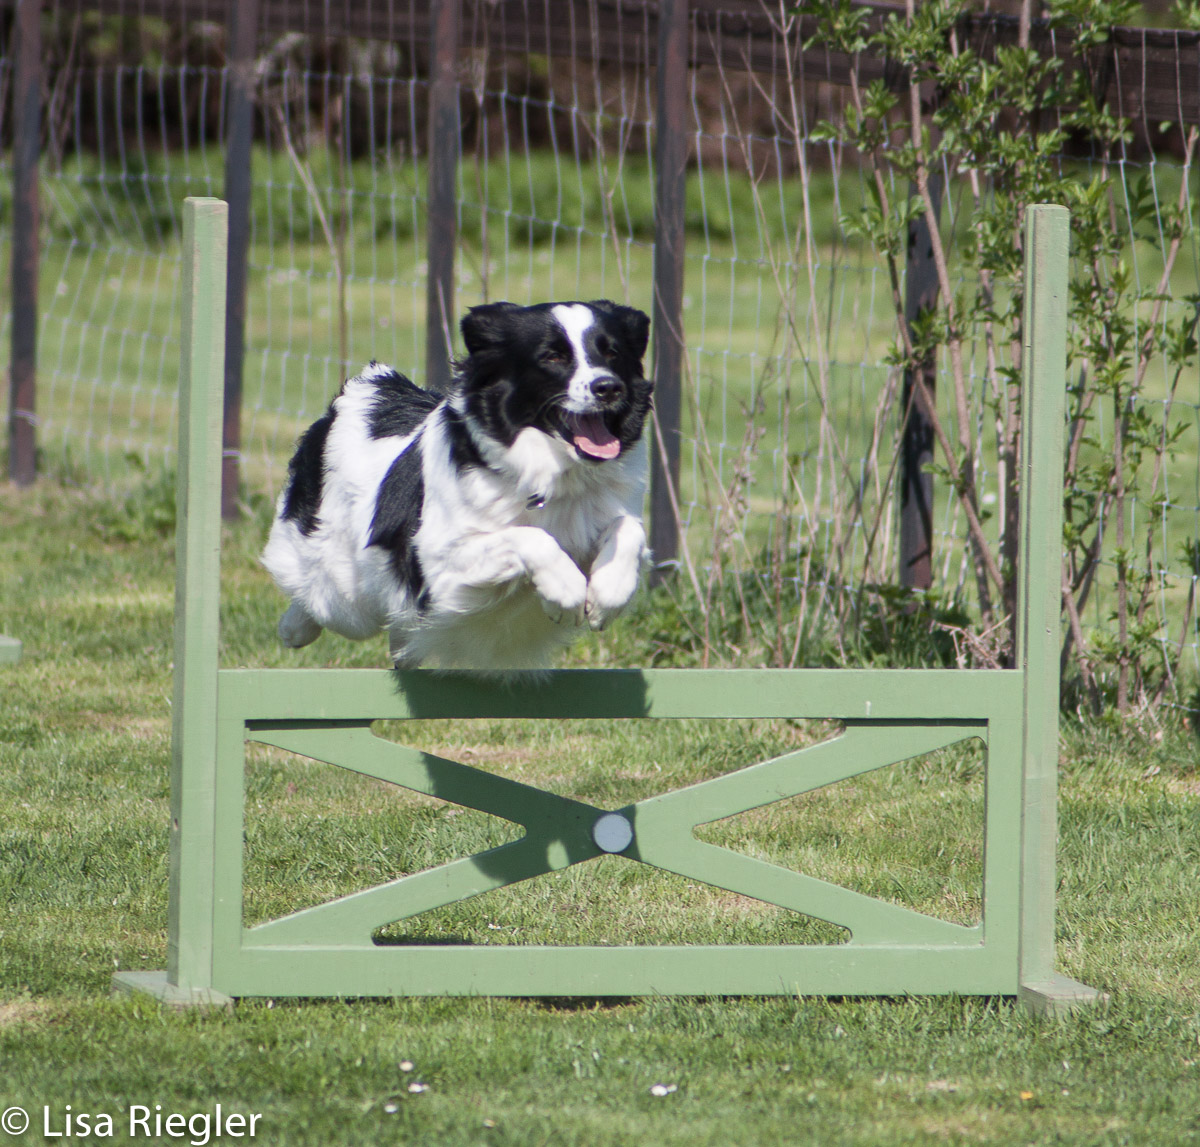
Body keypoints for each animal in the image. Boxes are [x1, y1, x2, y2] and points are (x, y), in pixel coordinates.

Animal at [264, 299, 657, 671]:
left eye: (612, 353)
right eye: (553, 356)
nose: (608, 387)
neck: (560, 473)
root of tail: (370, 388)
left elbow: (628, 528)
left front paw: (609, 593)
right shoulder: (440, 570)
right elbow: (529, 537)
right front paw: (566, 590)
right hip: (346, 595)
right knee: (317, 598)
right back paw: (293, 629)